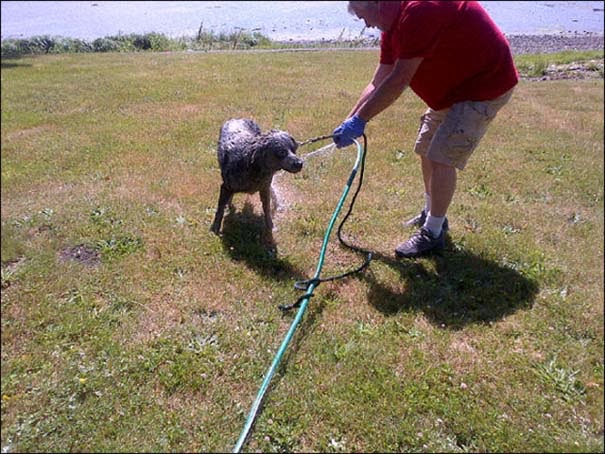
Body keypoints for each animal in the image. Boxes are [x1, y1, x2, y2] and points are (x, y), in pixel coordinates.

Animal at [210, 119, 302, 247]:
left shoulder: (265, 187)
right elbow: (220, 209)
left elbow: (267, 209)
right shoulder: (226, 186)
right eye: (281, 152)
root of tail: (237, 119)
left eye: (293, 150)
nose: (300, 163)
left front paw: (270, 227)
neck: (253, 165)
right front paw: (215, 229)